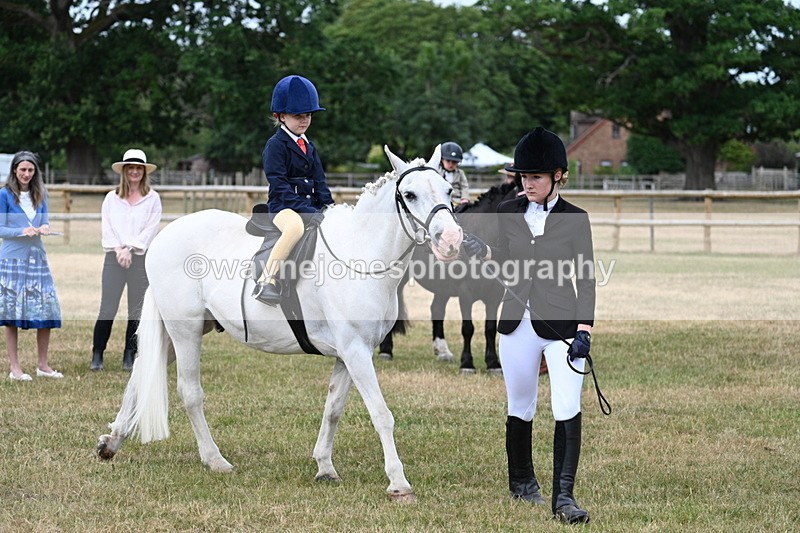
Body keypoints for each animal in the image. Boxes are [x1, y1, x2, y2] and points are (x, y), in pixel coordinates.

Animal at [95, 146, 463, 502]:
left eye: (448, 190)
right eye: (410, 195)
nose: (451, 239)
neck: (360, 254)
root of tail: (165, 235)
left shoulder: (351, 354)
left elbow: (333, 409)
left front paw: (324, 466)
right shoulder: (356, 352)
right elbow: (381, 414)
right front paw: (398, 483)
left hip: (183, 332)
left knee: (142, 371)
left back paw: (111, 442)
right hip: (185, 332)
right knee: (190, 392)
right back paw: (215, 460)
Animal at [378, 182, 519, 373]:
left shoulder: (494, 295)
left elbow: (490, 329)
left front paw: (493, 363)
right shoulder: (465, 294)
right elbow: (468, 328)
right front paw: (467, 364)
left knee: (437, 310)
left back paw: (443, 351)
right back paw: (386, 350)